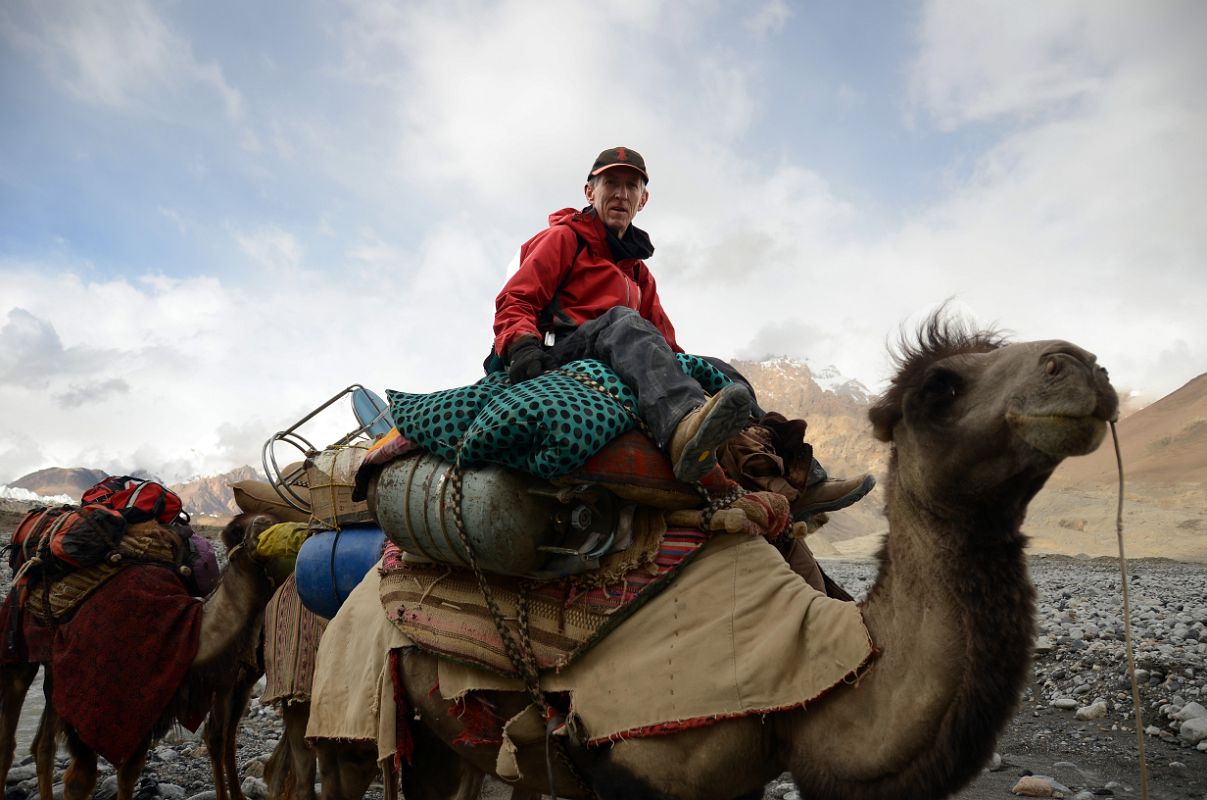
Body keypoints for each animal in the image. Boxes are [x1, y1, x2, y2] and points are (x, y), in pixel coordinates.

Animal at [0, 514, 280, 800]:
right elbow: (89, 780)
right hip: (18, 654)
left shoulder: (149, 704)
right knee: (9, 743)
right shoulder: (113, 700)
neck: (190, 630)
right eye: (239, 529)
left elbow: (125, 773)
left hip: (54, 673)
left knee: (42, 746)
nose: (267, 525)